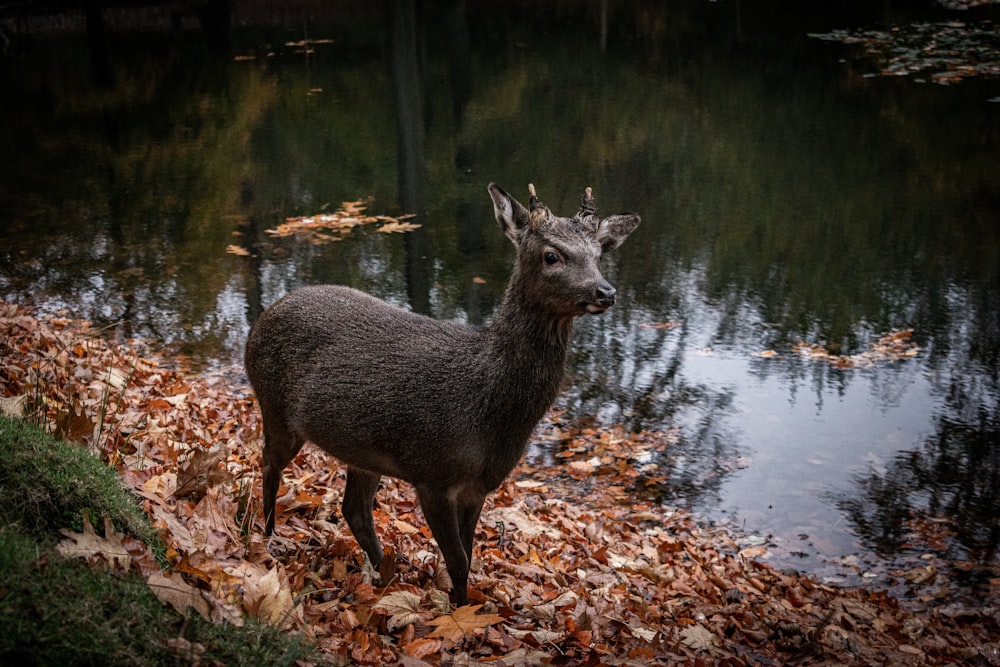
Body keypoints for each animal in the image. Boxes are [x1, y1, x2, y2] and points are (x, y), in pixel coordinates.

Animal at [244, 183, 640, 604]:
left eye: (599, 254)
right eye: (551, 255)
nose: (605, 292)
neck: (487, 408)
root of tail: (261, 320)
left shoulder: (479, 487)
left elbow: (468, 555)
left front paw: (462, 603)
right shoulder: (431, 473)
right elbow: (458, 561)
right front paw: (458, 611)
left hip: (361, 449)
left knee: (354, 509)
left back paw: (386, 569)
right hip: (274, 408)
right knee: (268, 466)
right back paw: (268, 538)